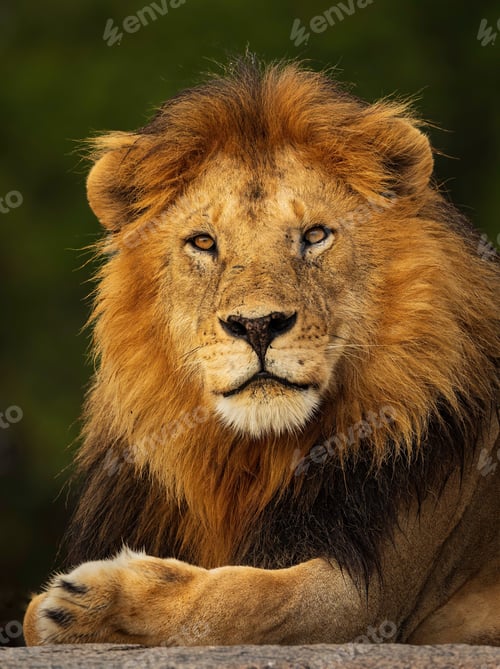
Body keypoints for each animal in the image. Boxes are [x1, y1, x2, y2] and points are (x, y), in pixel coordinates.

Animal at [24, 56, 499, 647]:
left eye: (315, 235)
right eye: (204, 242)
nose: (257, 325)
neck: (250, 459)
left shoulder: (372, 601)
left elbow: (245, 596)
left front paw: (96, 604)